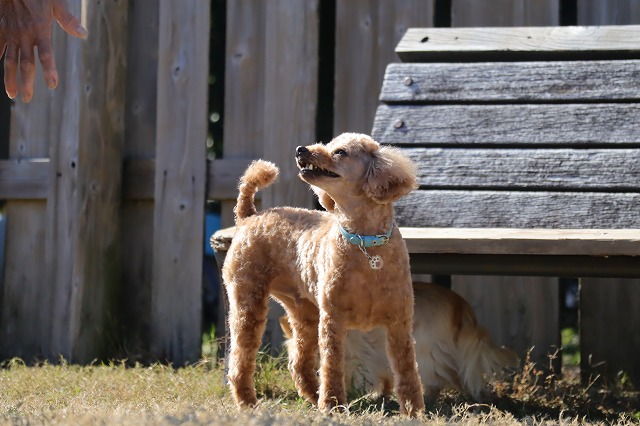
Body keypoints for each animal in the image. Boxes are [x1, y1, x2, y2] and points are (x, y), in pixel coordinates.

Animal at [222, 133, 424, 415]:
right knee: (241, 359)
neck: (365, 243)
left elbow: (406, 369)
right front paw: (333, 406)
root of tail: (249, 216)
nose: (301, 149)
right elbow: (331, 365)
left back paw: (312, 395)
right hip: (248, 299)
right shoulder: (333, 319)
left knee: (299, 362)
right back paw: (248, 402)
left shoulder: (399, 322)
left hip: (303, 312)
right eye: (328, 145)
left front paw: (414, 411)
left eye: (340, 152)